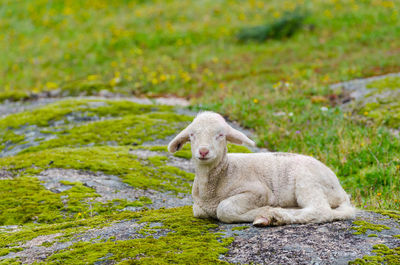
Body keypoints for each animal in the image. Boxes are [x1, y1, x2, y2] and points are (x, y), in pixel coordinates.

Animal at [167, 111, 354, 225]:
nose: (203, 151)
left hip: (308, 181)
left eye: (220, 135)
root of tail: (341, 191)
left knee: (321, 210)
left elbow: (224, 209)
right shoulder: (199, 206)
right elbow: (198, 210)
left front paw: (264, 211)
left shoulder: (259, 191)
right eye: (192, 135)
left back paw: (275, 216)